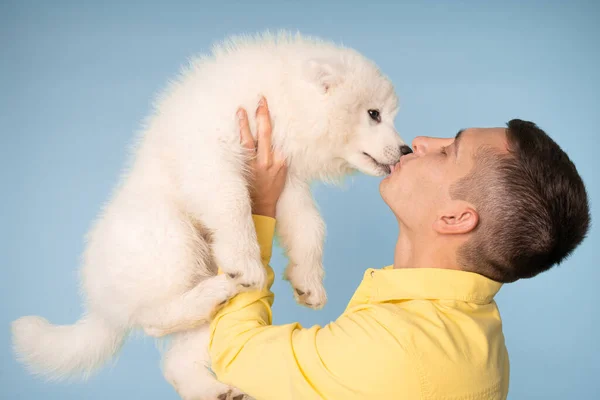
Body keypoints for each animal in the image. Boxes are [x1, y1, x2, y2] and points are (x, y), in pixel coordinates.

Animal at [11, 29, 410, 398]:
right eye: (373, 114)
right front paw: (247, 262)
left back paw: (212, 386)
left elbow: (310, 226)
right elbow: (234, 202)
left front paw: (308, 280)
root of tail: (102, 307)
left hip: (202, 313)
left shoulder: (285, 178)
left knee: (176, 358)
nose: (406, 150)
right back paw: (221, 287)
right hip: (168, 237)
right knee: (151, 317)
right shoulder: (213, 154)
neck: (280, 100)